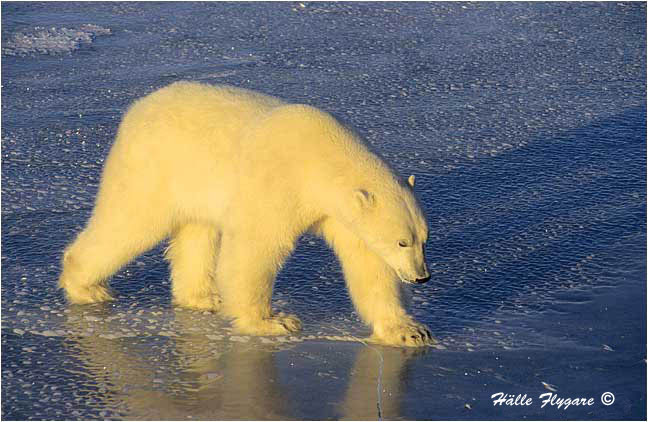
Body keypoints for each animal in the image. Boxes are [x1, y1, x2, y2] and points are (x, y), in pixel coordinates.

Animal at [59, 81, 435, 347]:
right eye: (402, 242)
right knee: (129, 220)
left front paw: (409, 330)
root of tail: (136, 108)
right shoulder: (280, 182)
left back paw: (204, 298)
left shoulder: (337, 214)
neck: (323, 158)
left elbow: (369, 266)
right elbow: (256, 247)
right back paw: (87, 287)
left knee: (197, 232)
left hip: (194, 180)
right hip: (154, 167)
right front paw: (273, 322)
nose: (422, 278)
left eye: (423, 240)